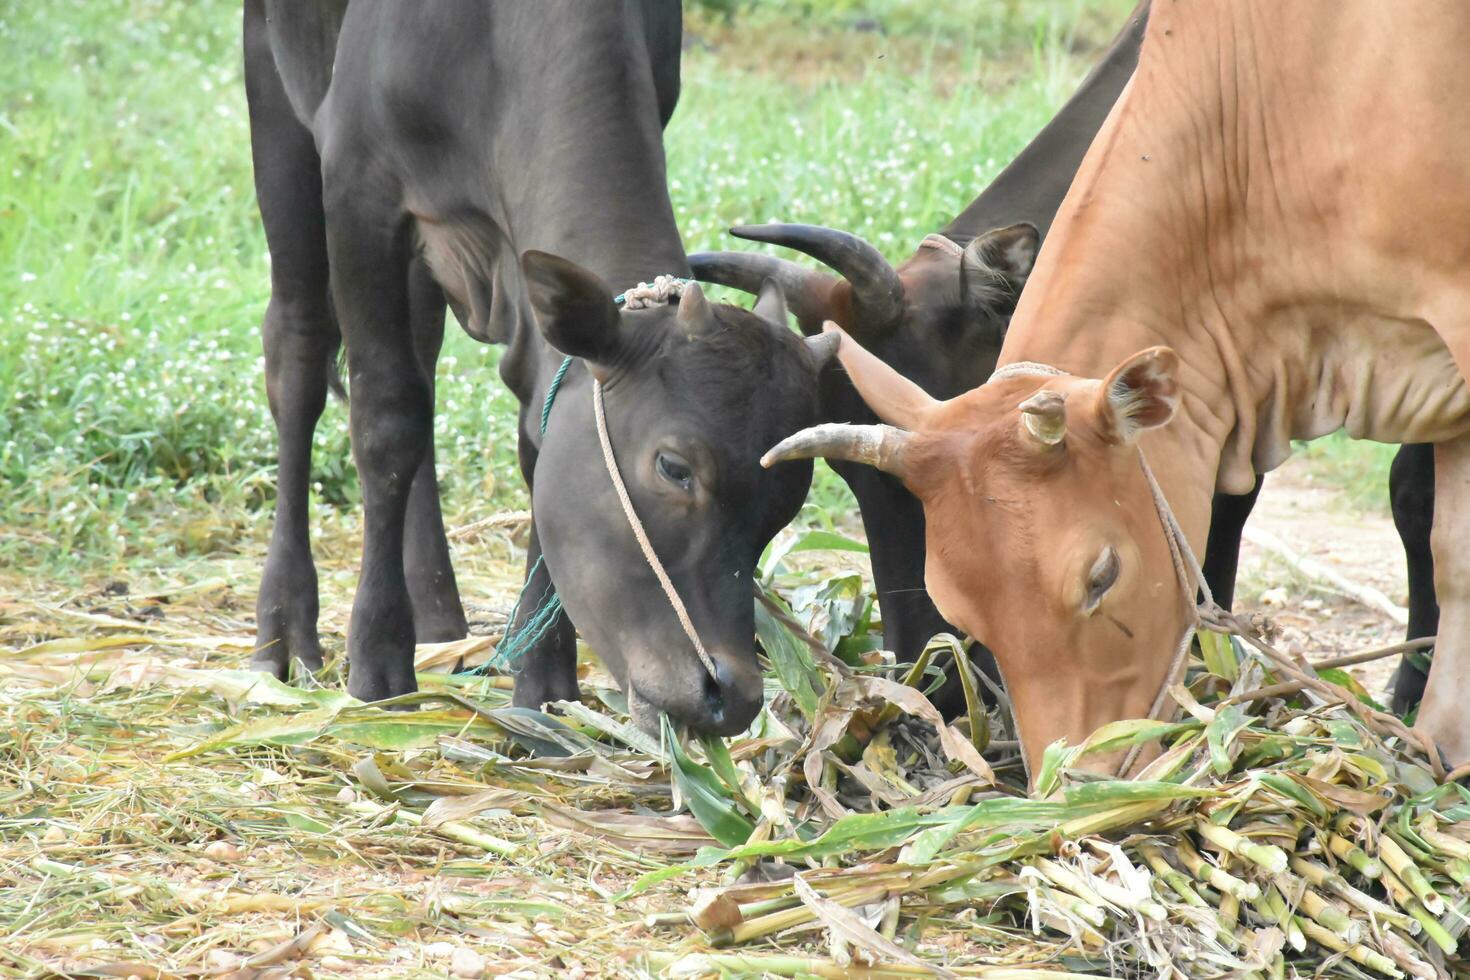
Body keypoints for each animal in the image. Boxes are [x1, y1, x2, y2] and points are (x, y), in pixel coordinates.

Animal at [245, 1, 834, 734]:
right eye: (674, 467)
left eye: (785, 503)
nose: (732, 694)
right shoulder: (359, 190)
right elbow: (386, 421)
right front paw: (378, 658)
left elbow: (536, 437)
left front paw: (544, 680)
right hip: (276, 106)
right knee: (300, 354)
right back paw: (284, 629)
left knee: (423, 365)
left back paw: (436, 608)